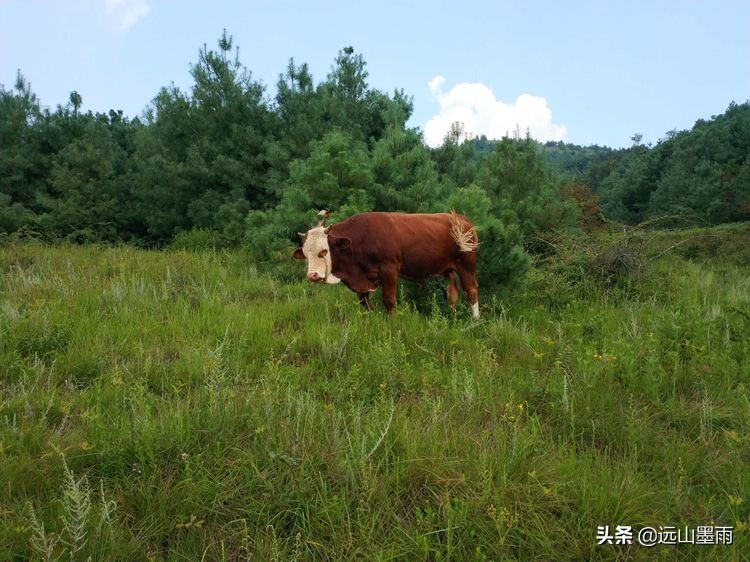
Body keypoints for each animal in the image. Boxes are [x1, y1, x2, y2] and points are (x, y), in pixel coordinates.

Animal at [294, 210, 482, 318]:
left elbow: (389, 300)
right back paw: (453, 317)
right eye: (306, 254)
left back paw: (475, 320)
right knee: (453, 292)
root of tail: (461, 218)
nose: (313, 276)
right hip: (447, 268)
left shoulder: (389, 270)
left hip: (466, 265)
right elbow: (364, 302)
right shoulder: (363, 279)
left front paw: (391, 323)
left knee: (471, 290)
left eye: (324, 251)